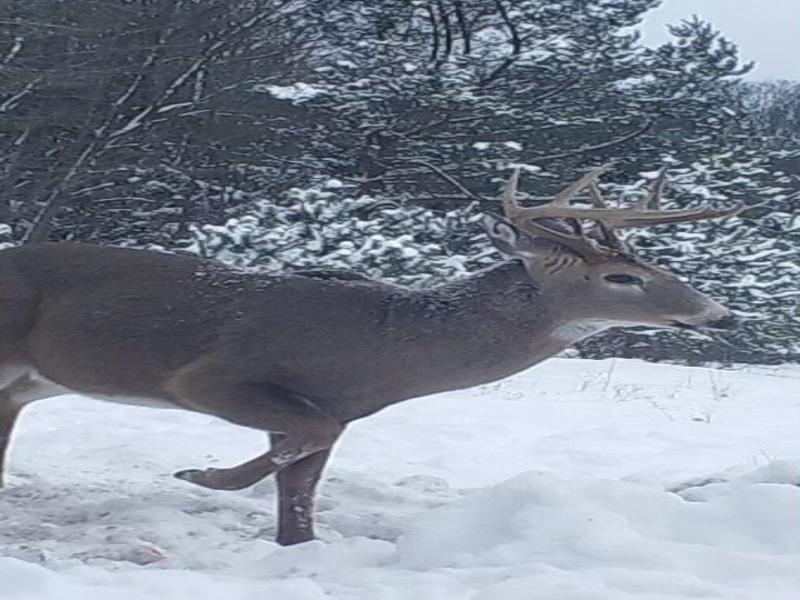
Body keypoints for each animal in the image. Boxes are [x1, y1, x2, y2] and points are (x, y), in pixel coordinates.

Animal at [0, 165, 743, 546]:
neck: (384, 349)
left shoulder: (335, 409)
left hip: (23, 383)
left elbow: (302, 485)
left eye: (649, 266)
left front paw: (292, 544)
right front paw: (200, 475)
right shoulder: (212, 375)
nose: (718, 312)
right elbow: (302, 440)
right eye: (621, 278)